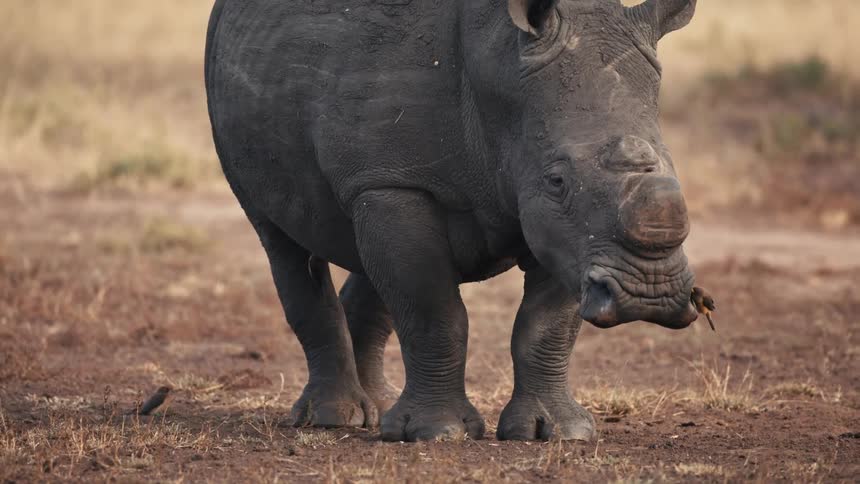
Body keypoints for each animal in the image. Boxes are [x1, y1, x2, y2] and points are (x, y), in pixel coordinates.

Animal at [205, 0, 698, 442]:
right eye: (557, 179)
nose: (648, 294)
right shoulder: (397, 181)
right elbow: (432, 309)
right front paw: (435, 433)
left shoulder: (565, 231)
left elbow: (545, 324)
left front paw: (558, 433)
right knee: (282, 243)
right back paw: (332, 419)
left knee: (369, 258)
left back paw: (378, 411)